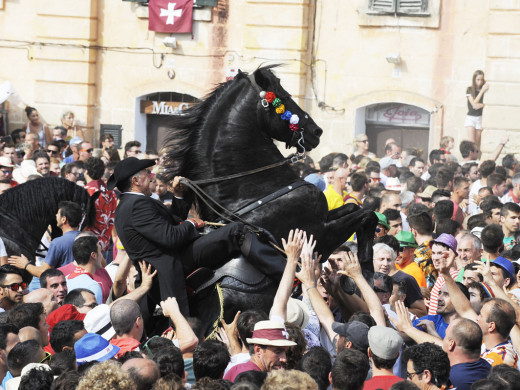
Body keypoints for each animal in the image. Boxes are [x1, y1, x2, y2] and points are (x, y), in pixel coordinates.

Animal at [160, 65, 376, 334]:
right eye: (282, 96)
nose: (316, 131)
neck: (252, 191)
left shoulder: (325, 218)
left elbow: (354, 206)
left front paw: (349, 277)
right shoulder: (320, 234)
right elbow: (367, 214)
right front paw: (364, 273)